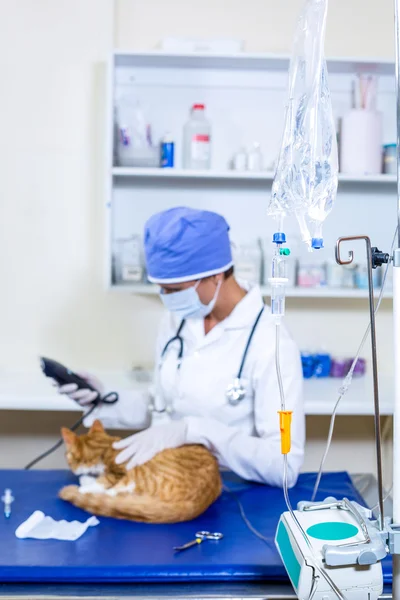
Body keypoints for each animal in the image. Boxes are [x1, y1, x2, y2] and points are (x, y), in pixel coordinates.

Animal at [59, 420, 222, 524]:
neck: (105, 447)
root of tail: (195, 504)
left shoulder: (121, 472)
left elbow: (105, 482)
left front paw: (85, 485)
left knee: (112, 493)